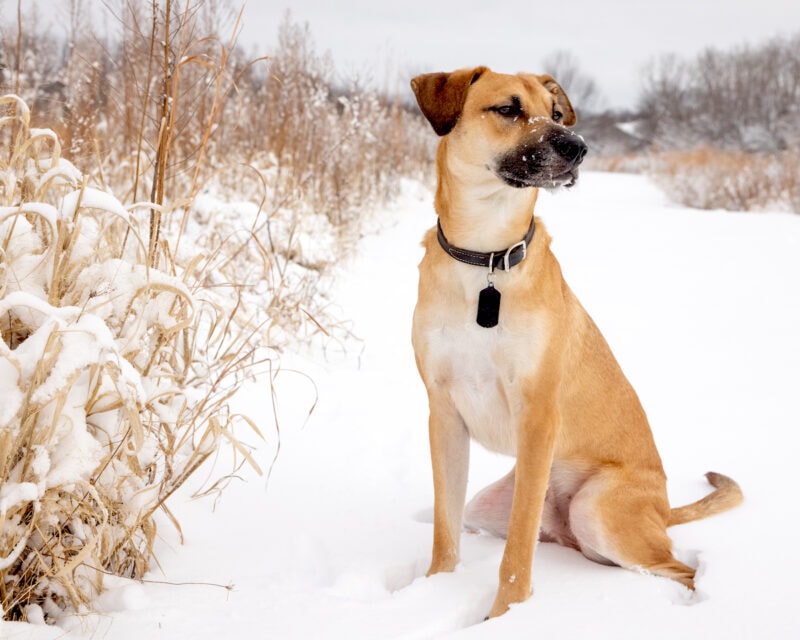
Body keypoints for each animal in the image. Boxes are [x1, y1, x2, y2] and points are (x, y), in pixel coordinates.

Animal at [410, 67, 748, 616]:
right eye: (507, 109)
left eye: (555, 113)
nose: (577, 147)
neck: (485, 259)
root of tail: (663, 509)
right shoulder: (443, 413)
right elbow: (445, 528)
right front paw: (431, 591)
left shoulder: (537, 416)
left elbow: (516, 555)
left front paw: (503, 617)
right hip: (497, 505)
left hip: (598, 507)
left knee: (680, 567)